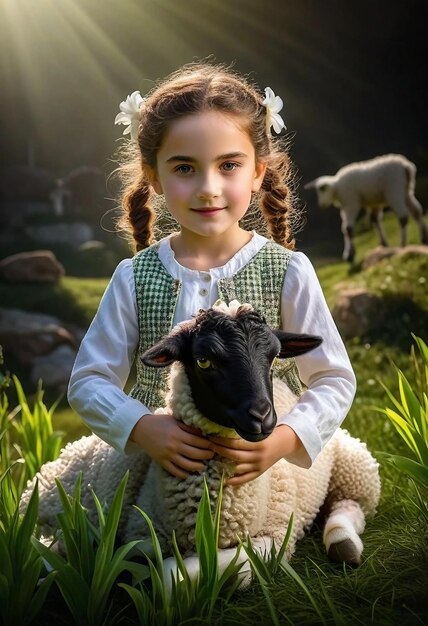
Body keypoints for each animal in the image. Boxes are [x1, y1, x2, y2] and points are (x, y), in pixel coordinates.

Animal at [20, 302, 382, 584]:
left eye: (274, 356)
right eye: (203, 361)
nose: (263, 418)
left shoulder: (275, 537)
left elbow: (191, 572)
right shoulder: (140, 532)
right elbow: (150, 564)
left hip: (355, 465)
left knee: (349, 506)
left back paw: (343, 543)